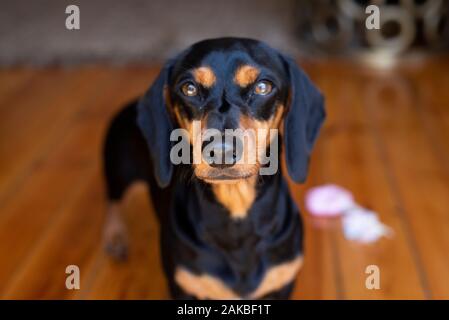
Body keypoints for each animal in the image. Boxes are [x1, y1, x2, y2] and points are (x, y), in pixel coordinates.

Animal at [103, 37, 324, 300]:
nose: (221, 152)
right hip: (118, 172)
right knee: (113, 201)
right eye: (189, 88)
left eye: (263, 87)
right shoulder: (185, 287)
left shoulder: (282, 283)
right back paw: (115, 235)